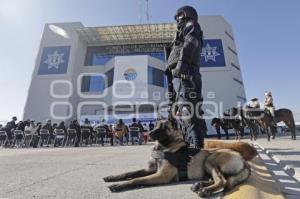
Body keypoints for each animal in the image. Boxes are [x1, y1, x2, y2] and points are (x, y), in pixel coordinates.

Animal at [103, 119, 255, 197]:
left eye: (163, 127)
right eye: (155, 125)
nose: (149, 133)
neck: (165, 146)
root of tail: (244, 161)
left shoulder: (161, 175)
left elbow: (136, 179)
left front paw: (118, 186)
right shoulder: (150, 169)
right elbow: (129, 173)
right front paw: (112, 177)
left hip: (209, 159)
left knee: (222, 180)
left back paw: (206, 190)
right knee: (217, 178)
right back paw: (199, 185)